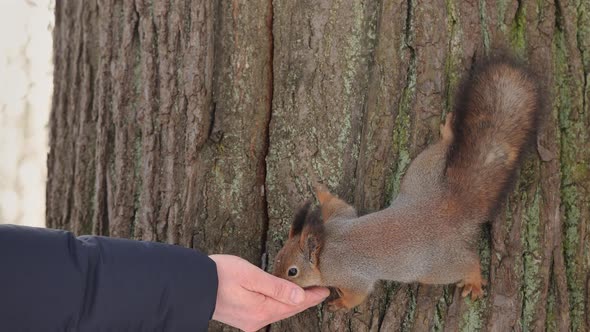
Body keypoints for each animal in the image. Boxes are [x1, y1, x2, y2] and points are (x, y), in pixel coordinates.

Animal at [272, 55, 544, 312]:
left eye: (292, 271)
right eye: (278, 256)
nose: (276, 278)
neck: (326, 248)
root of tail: (447, 209)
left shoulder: (350, 276)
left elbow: (357, 295)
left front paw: (339, 304)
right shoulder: (341, 218)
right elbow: (340, 205)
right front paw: (320, 191)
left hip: (439, 266)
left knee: (467, 263)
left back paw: (474, 280)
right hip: (422, 173)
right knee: (441, 150)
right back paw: (448, 134)